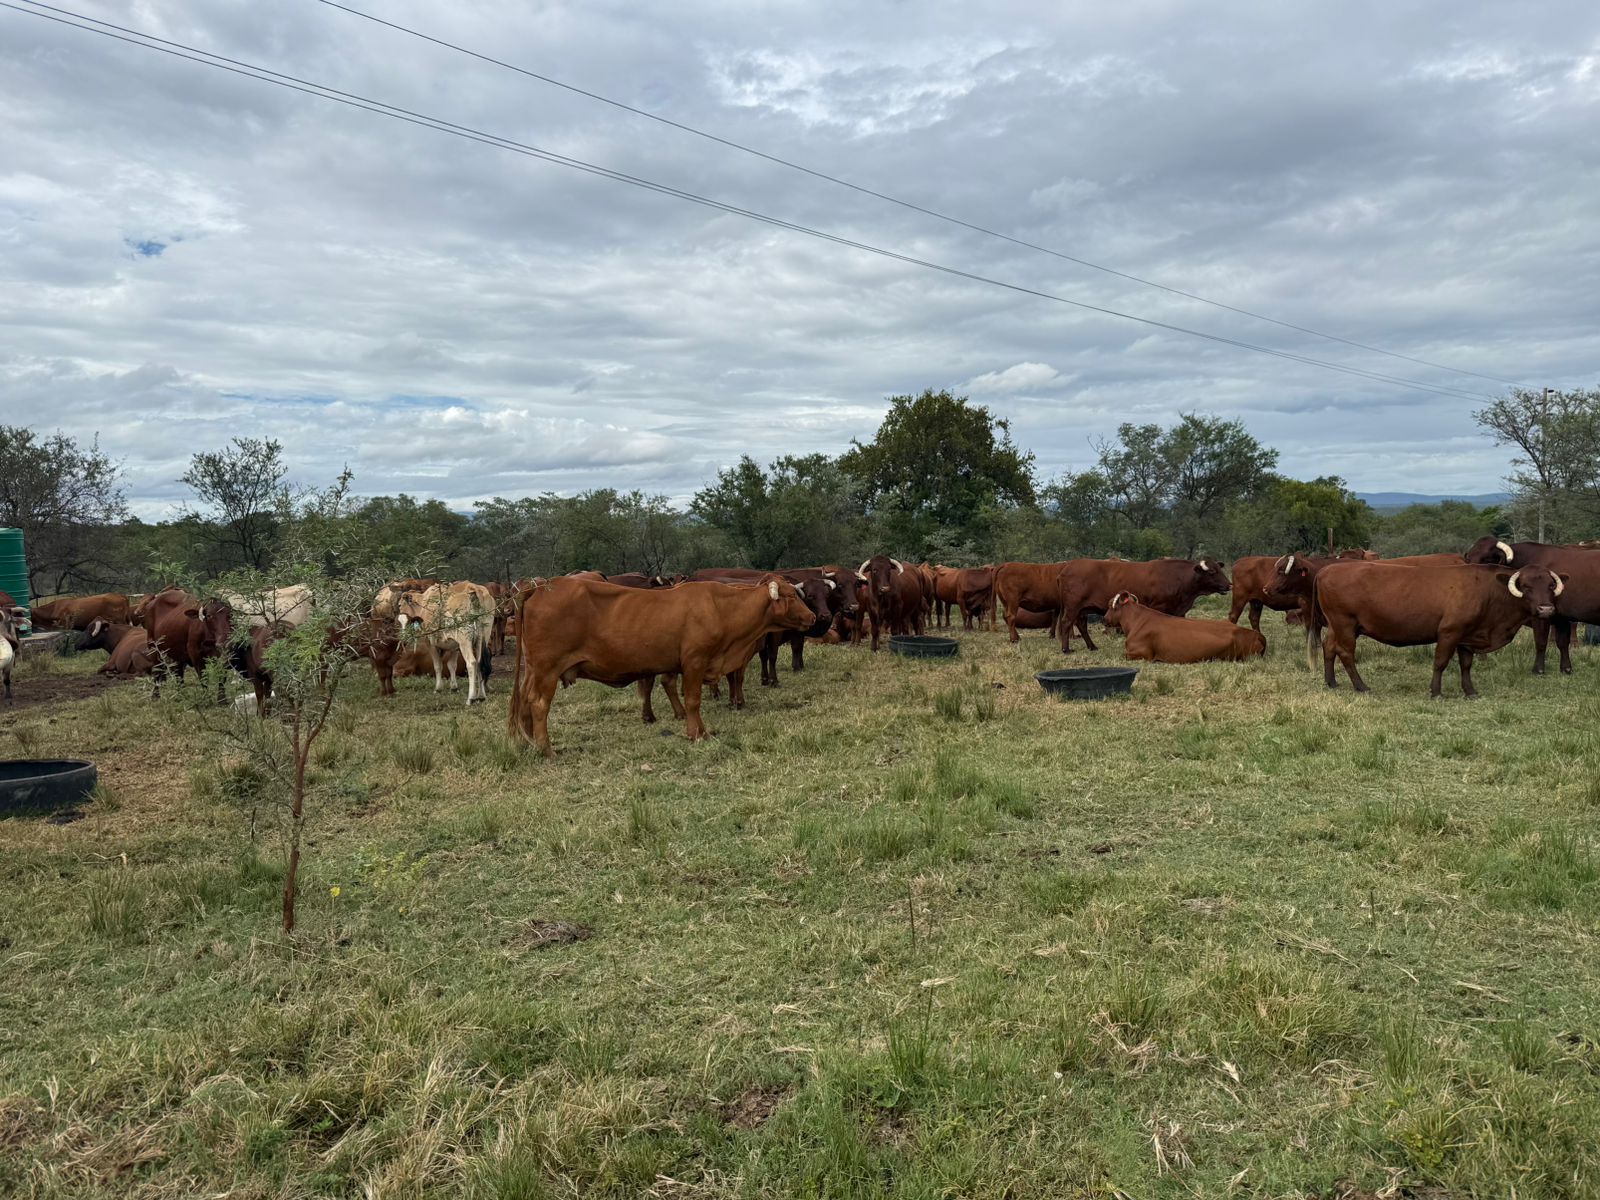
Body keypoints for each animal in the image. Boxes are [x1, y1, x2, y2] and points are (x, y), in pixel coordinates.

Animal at [508, 574, 815, 755]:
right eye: (790, 597)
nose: (812, 617)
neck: (721, 607)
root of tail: (541, 587)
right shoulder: (694, 662)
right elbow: (692, 700)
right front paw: (696, 733)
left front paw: (700, 731)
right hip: (547, 670)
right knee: (538, 704)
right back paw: (545, 748)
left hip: (533, 670)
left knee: (524, 702)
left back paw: (526, 742)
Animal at [1056, 558, 1232, 653]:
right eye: (1212, 572)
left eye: (1219, 569)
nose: (1229, 585)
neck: (1178, 578)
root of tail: (1067, 567)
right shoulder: (1159, 608)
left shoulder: (1180, 611)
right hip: (1073, 607)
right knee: (1066, 623)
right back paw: (1066, 649)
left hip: (1082, 609)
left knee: (1081, 625)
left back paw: (1092, 646)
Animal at [1312, 561, 1563, 697]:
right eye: (1526, 586)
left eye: (1551, 585)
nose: (1546, 608)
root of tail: (1326, 570)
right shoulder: (1450, 632)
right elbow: (1440, 662)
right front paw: (1436, 691)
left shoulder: (1467, 636)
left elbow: (1466, 665)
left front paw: (1470, 691)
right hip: (1344, 623)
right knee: (1345, 652)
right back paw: (1361, 686)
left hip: (1339, 625)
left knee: (1329, 647)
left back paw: (1331, 682)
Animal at [1462, 538, 1600, 673]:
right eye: (1468, 559)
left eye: (1487, 559)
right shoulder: (1561, 616)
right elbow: (1562, 643)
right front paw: (1566, 669)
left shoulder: (1542, 614)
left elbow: (1541, 641)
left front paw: (1538, 669)